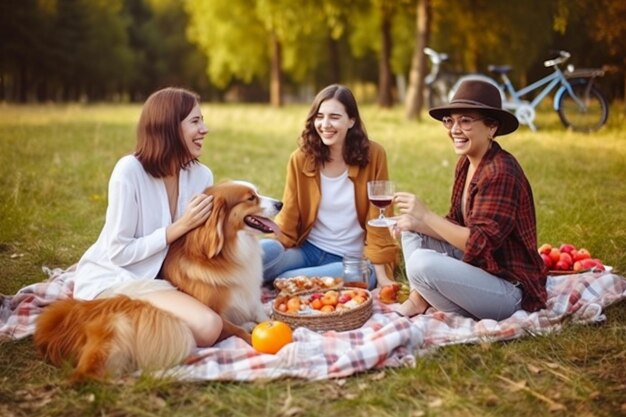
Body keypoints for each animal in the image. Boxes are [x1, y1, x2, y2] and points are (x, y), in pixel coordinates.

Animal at [34, 180, 278, 378]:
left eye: (257, 192)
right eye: (251, 198)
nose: (280, 203)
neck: (229, 253)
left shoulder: (250, 296)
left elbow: (262, 313)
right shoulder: (217, 313)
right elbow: (236, 330)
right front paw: (255, 338)